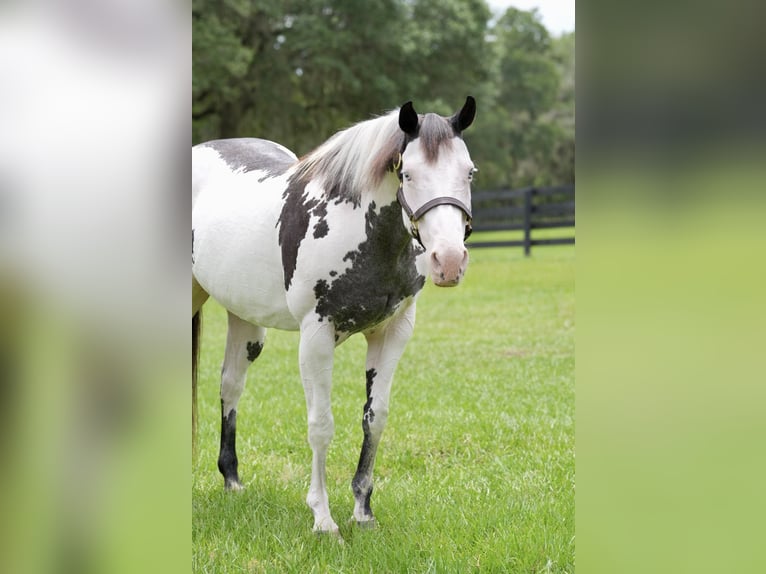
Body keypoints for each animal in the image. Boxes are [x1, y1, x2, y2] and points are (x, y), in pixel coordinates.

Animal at [192, 97, 477, 537]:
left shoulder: (393, 332)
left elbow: (375, 419)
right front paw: (323, 519)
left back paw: (232, 480)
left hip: (244, 318)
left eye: (469, 172)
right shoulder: (316, 336)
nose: (448, 261)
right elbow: (321, 425)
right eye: (407, 173)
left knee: (230, 385)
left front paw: (363, 511)